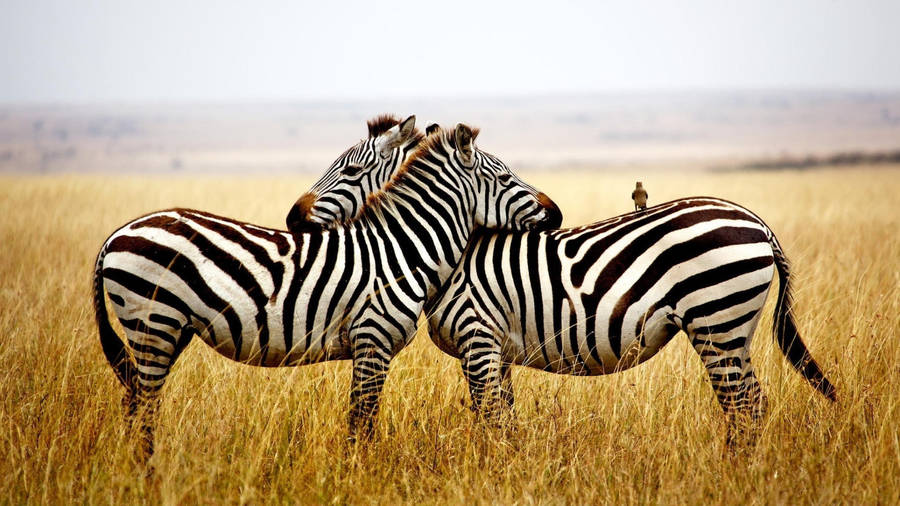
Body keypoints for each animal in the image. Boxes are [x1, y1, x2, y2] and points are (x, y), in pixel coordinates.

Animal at [93, 119, 562, 459]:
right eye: (505, 178)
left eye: (350, 170)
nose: (555, 213)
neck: (402, 248)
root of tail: (116, 234)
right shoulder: (372, 341)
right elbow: (361, 422)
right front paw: (359, 473)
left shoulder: (375, 346)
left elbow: (365, 419)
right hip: (153, 322)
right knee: (142, 409)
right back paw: (147, 474)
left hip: (166, 329)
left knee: (136, 403)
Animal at [289, 144, 835, 446]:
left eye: (349, 171)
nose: (293, 218)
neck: (452, 253)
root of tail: (757, 222)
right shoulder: (493, 349)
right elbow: (502, 416)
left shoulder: (478, 338)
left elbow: (491, 420)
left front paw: (494, 472)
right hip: (731, 328)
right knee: (751, 403)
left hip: (716, 321)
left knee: (744, 405)